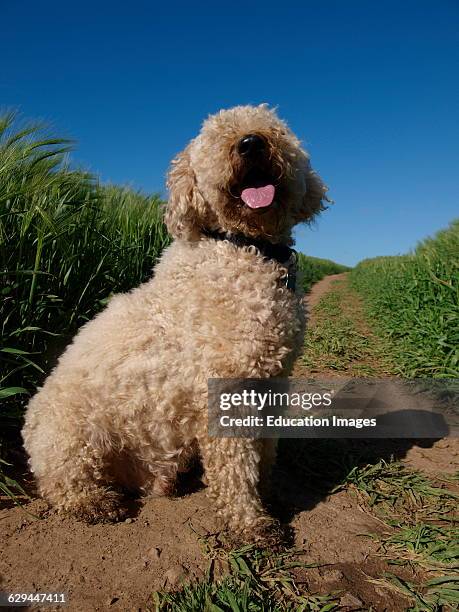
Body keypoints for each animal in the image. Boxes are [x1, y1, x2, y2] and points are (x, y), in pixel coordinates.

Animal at [21, 104, 328, 540]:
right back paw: (93, 502)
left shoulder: (273, 381)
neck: (244, 248)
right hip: (70, 433)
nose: (251, 143)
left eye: (276, 130)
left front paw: (269, 494)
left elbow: (265, 451)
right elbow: (236, 468)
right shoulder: (225, 391)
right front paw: (250, 523)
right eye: (215, 138)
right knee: (63, 483)